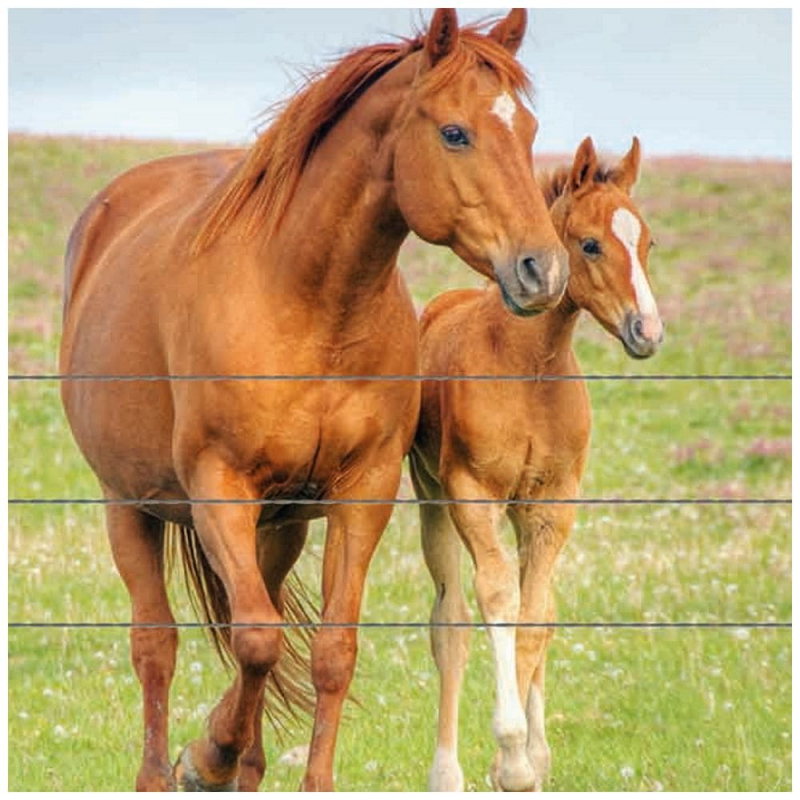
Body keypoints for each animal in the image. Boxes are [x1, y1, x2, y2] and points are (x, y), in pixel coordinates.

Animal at [59, 8, 569, 792]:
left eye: (531, 129)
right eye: (456, 133)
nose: (542, 269)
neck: (310, 303)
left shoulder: (362, 492)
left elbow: (327, 650)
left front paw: (270, 767)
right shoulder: (218, 487)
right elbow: (257, 640)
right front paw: (205, 759)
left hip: (278, 526)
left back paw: (241, 761)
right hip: (130, 505)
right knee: (157, 644)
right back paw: (168, 770)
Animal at [409, 136, 664, 792]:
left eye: (648, 242)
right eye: (591, 243)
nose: (648, 331)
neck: (527, 365)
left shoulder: (553, 502)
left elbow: (536, 616)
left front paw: (526, 762)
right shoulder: (472, 492)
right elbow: (497, 600)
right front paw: (509, 747)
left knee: (534, 605)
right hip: (432, 499)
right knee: (450, 622)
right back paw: (445, 773)